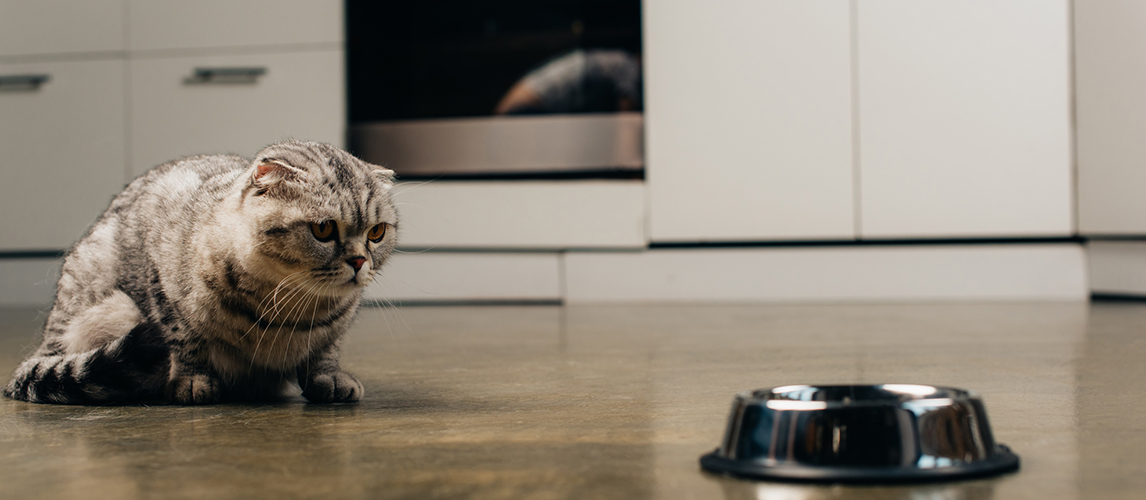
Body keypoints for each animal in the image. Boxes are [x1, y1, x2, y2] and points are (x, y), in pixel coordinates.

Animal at [3, 140, 398, 405]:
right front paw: (193, 382)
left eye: (376, 233)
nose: (359, 261)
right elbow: (185, 341)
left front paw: (329, 379)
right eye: (323, 230)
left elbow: (326, 349)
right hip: (112, 310)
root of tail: (45, 343)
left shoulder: (336, 325)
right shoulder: (162, 287)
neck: (289, 305)